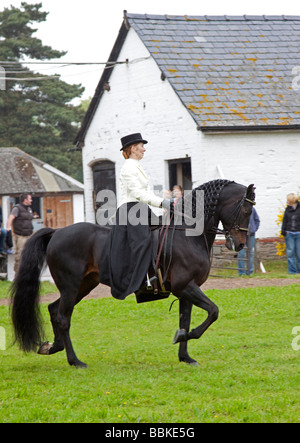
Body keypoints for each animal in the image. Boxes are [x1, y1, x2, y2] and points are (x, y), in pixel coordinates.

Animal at [11, 180, 255, 368]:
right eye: (246, 210)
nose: (241, 244)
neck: (187, 234)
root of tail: (57, 232)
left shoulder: (186, 290)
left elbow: (185, 321)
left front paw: (185, 355)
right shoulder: (185, 286)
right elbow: (213, 312)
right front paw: (184, 338)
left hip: (82, 285)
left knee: (55, 310)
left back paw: (52, 347)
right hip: (71, 286)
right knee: (63, 318)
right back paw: (74, 361)